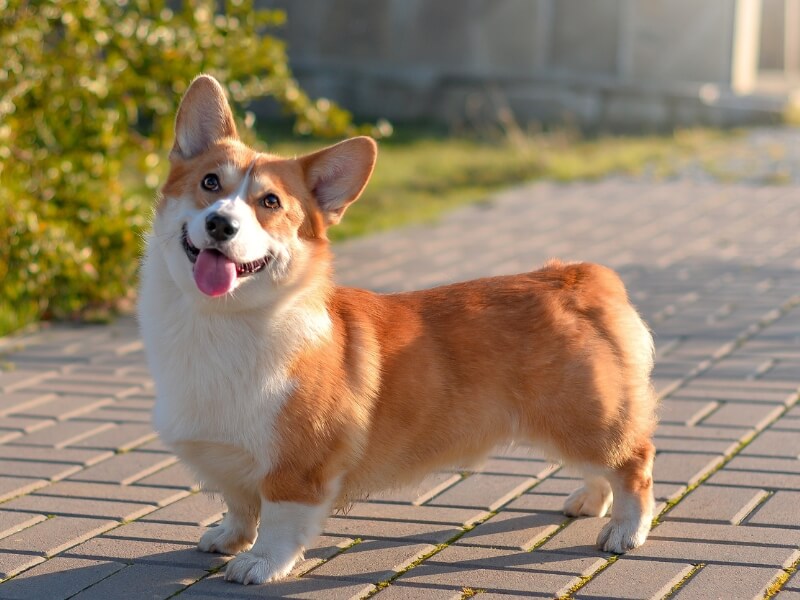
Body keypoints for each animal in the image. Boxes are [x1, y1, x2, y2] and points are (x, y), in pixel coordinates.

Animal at [139, 76, 656, 584]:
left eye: (270, 202)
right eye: (210, 183)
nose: (220, 224)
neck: (220, 321)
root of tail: (576, 277)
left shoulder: (298, 467)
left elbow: (281, 520)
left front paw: (260, 563)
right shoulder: (228, 461)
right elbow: (240, 504)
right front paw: (229, 538)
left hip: (584, 419)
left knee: (635, 461)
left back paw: (626, 530)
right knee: (601, 470)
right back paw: (589, 502)